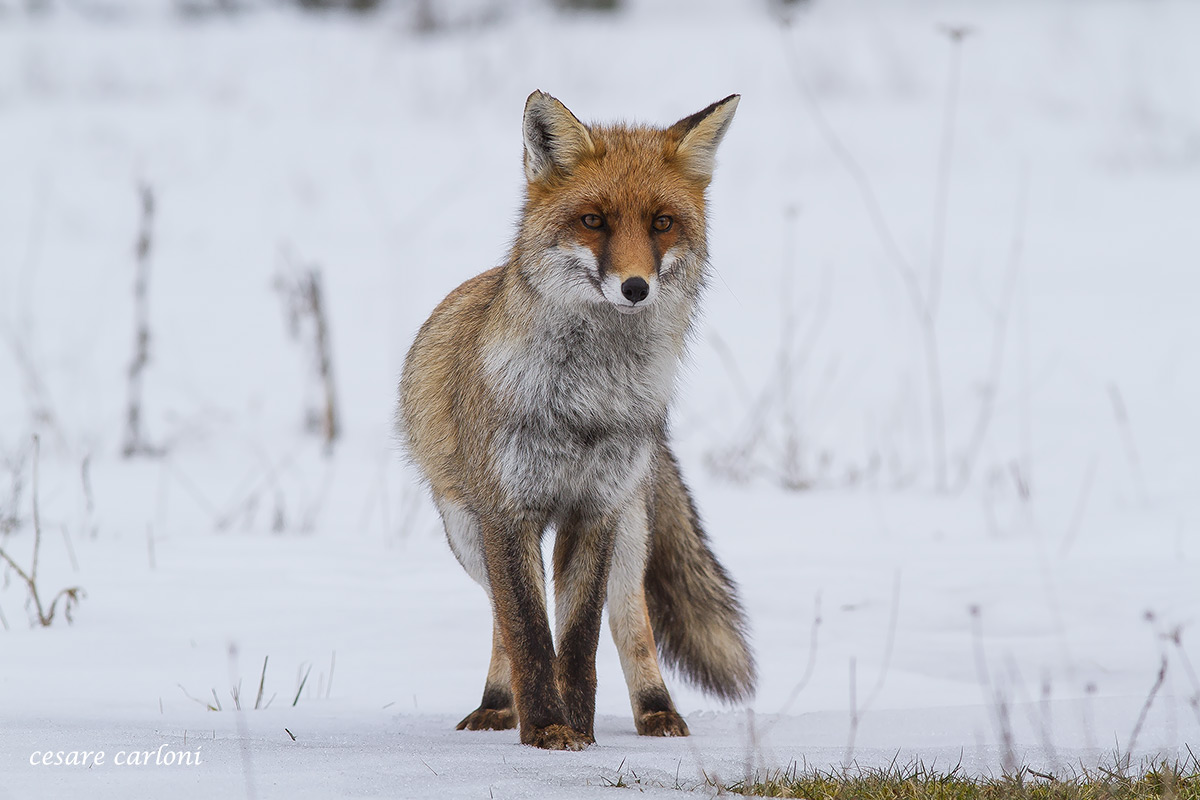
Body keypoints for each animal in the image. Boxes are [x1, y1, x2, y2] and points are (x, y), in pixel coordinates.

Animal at [398, 91, 755, 751]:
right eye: (594, 221)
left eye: (661, 223)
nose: (636, 287)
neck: (587, 403)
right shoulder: (507, 513)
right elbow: (531, 636)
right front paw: (545, 728)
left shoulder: (596, 509)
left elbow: (581, 641)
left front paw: (579, 731)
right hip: (467, 535)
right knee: (502, 619)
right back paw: (498, 705)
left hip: (630, 532)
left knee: (633, 620)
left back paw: (657, 710)